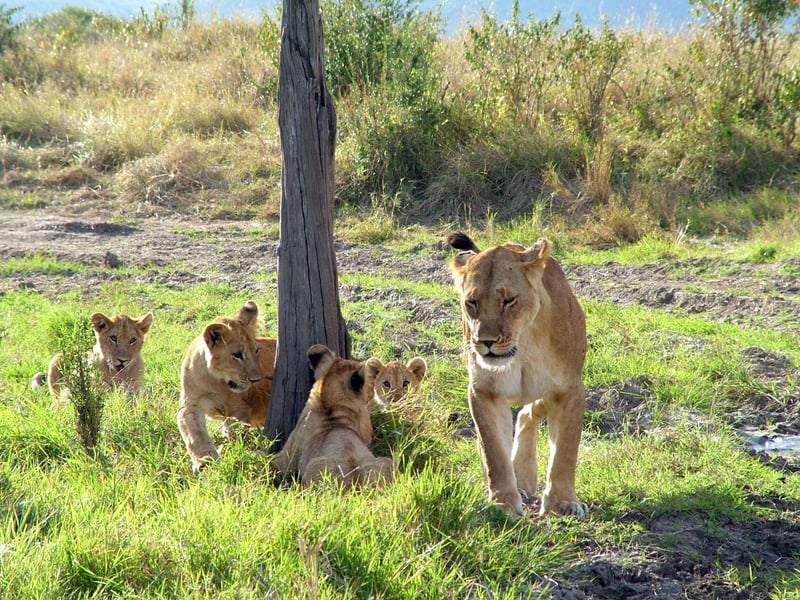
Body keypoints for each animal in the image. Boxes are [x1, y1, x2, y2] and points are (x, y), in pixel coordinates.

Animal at [177, 300, 276, 474]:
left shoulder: (242, 411)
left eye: (256, 350)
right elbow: (193, 432)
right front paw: (204, 462)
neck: (216, 381)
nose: (256, 380)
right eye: (237, 355)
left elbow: (236, 431)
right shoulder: (190, 405)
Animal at [272, 344, 394, 490]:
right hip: (386, 461)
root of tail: (356, 486)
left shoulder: (287, 456)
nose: (372, 392)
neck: (330, 405)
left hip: (314, 465)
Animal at [446, 232, 584, 516]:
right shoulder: (483, 392)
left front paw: (562, 503)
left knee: (529, 412)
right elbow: (494, 451)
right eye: (472, 302)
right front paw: (503, 503)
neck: (523, 348)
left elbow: (565, 450)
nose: (485, 341)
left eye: (509, 300)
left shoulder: (570, 389)